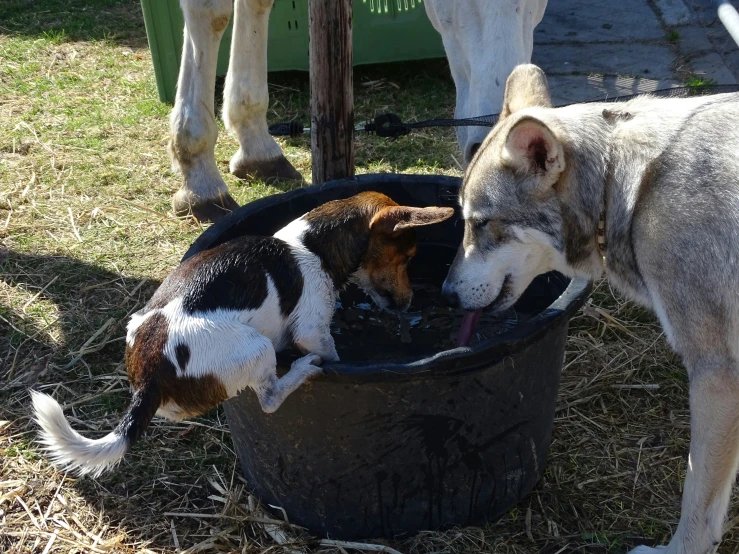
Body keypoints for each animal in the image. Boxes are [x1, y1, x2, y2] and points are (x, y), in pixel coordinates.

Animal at [31, 190, 454, 474]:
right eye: (408, 257)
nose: (409, 303)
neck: (311, 245)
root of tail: (149, 378)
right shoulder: (313, 332)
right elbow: (331, 353)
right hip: (257, 347)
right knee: (270, 397)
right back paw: (302, 370)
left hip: (141, 324)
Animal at [442, 62, 739, 548]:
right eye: (465, 222)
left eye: (481, 224)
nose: (445, 296)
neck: (624, 188)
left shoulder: (717, 372)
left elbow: (698, 501)